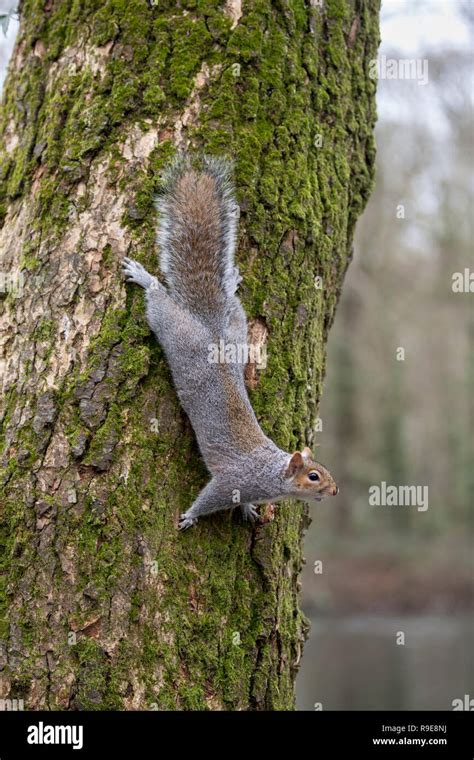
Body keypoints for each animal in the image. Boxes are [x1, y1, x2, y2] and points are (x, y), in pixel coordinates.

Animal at [122, 156, 336, 528]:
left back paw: (231, 283)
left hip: (238, 329)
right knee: (159, 302)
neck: (270, 473)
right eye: (313, 476)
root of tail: (210, 326)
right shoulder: (232, 482)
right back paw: (145, 278)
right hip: (175, 329)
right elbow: (209, 498)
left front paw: (248, 510)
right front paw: (189, 517)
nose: (336, 489)